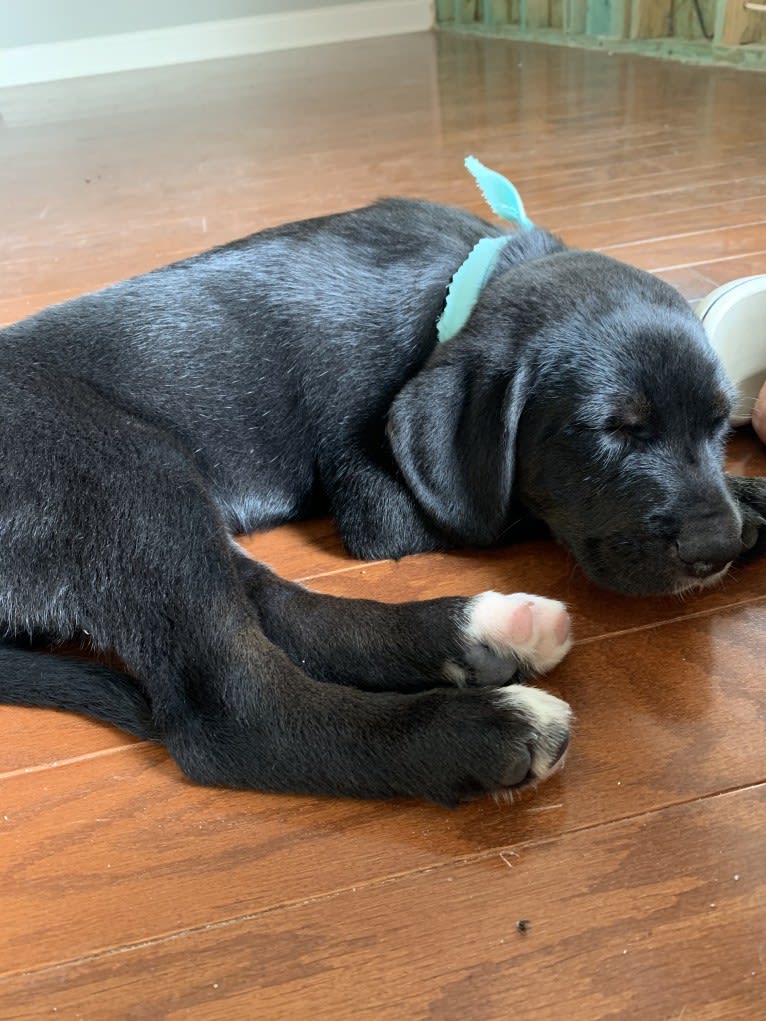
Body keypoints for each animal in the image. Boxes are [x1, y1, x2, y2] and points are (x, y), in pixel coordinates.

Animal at [1, 197, 766, 804]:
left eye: (722, 423)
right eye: (612, 430)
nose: (715, 547)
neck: (464, 282)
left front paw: (748, 498)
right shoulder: (381, 503)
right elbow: (501, 513)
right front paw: (751, 503)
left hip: (167, 496)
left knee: (275, 607)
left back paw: (484, 631)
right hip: (129, 469)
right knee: (237, 709)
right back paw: (481, 731)